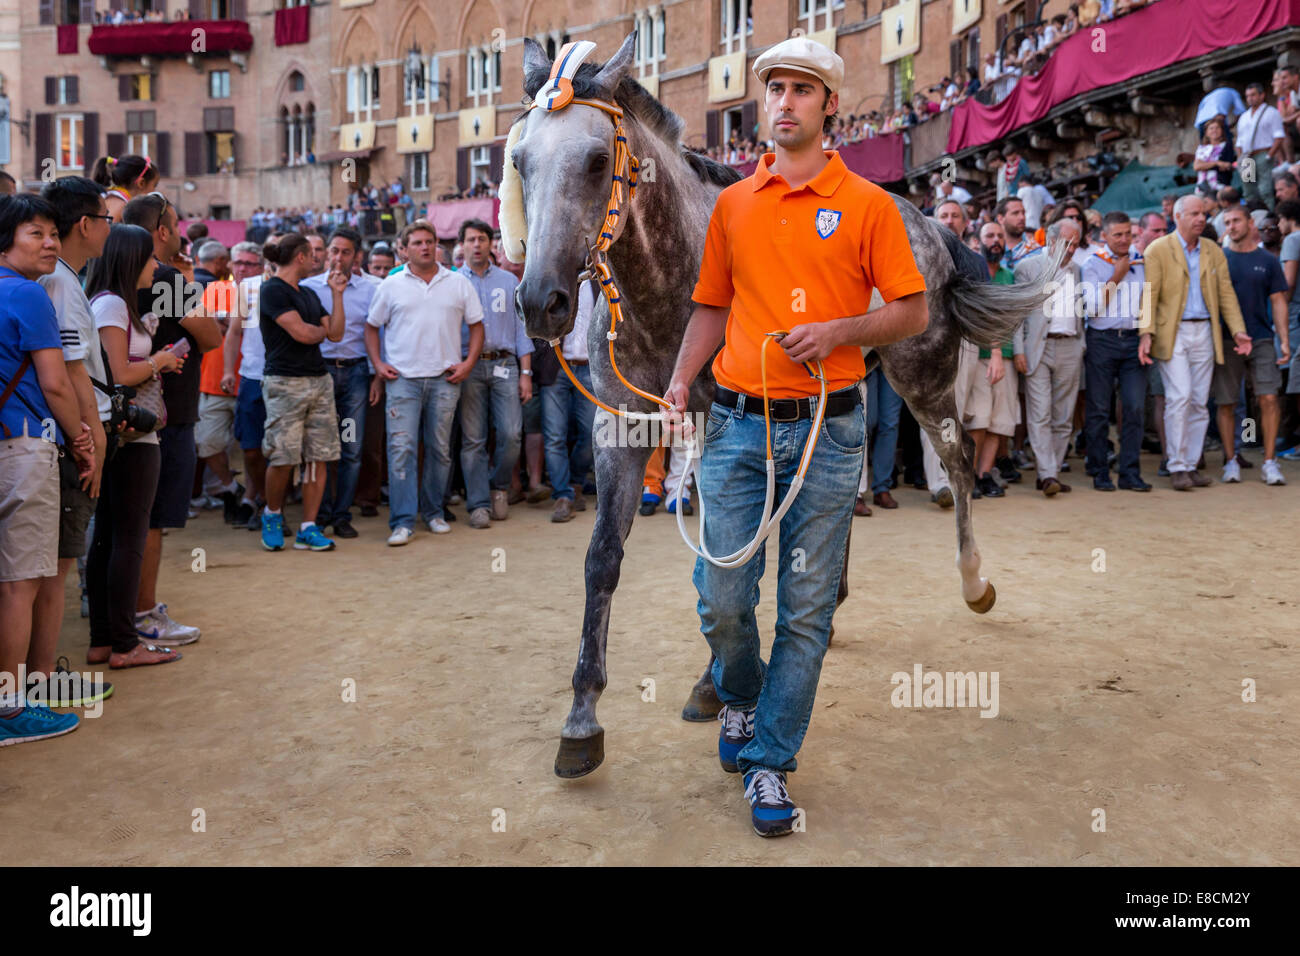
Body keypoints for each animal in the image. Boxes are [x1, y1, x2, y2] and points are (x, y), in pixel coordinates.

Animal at [512, 33, 1060, 780]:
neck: (672, 287)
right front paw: (582, 720)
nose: (541, 301)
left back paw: (975, 581)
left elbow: (738, 557)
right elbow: (605, 559)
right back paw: (838, 597)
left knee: (959, 462)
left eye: (598, 161)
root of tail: (929, 225)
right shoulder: (622, 423)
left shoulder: (736, 428)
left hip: (922, 375)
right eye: (519, 161)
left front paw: (713, 685)